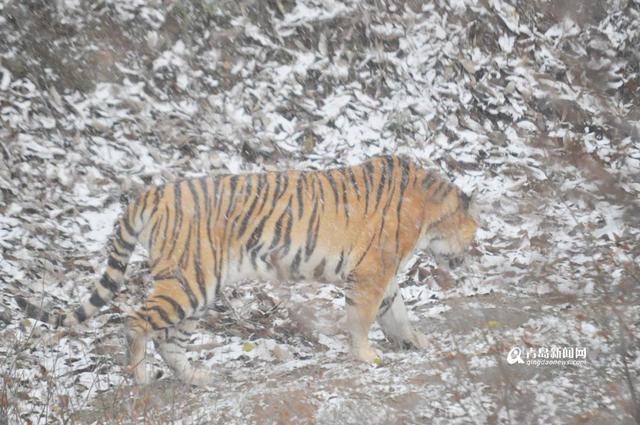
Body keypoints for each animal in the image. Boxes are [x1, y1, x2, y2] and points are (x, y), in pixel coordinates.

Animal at [15, 154, 478, 386]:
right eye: (473, 234)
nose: (467, 258)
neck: (430, 213)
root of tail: (154, 192)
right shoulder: (371, 273)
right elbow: (365, 318)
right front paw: (367, 356)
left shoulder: (381, 274)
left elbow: (397, 311)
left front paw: (416, 341)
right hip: (188, 282)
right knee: (134, 320)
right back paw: (142, 377)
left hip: (197, 288)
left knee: (168, 338)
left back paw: (196, 376)